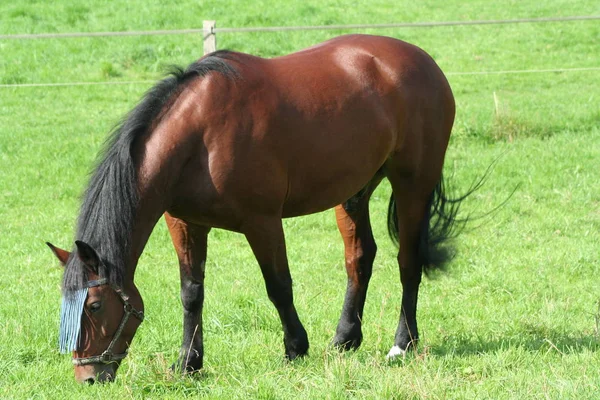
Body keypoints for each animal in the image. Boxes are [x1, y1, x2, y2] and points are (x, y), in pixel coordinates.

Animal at [47, 35, 464, 384]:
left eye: (95, 306)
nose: (88, 376)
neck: (201, 136)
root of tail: (422, 60)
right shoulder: (185, 223)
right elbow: (191, 292)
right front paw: (188, 363)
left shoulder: (262, 222)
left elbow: (278, 286)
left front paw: (295, 348)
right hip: (355, 191)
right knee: (359, 257)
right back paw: (344, 339)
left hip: (413, 184)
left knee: (408, 261)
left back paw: (402, 343)